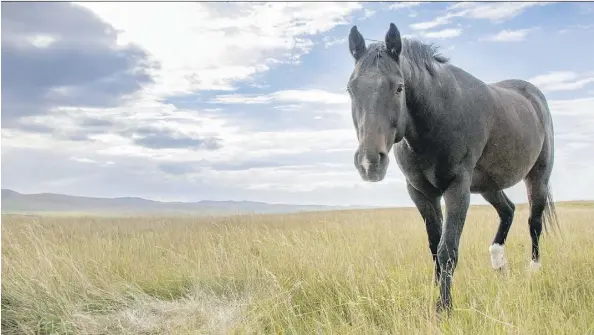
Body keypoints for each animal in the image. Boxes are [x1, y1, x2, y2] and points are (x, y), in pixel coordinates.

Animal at [344, 23, 556, 316]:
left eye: (399, 88)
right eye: (351, 89)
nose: (369, 162)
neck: (437, 115)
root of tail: (533, 95)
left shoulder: (457, 188)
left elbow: (447, 250)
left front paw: (443, 308)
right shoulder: (420, 192)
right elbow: (434, 245)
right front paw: (435, 291)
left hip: (538, 176)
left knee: (533, 220)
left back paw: (534, 269)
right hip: (489, 185)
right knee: (508, 210)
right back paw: (498, 261)